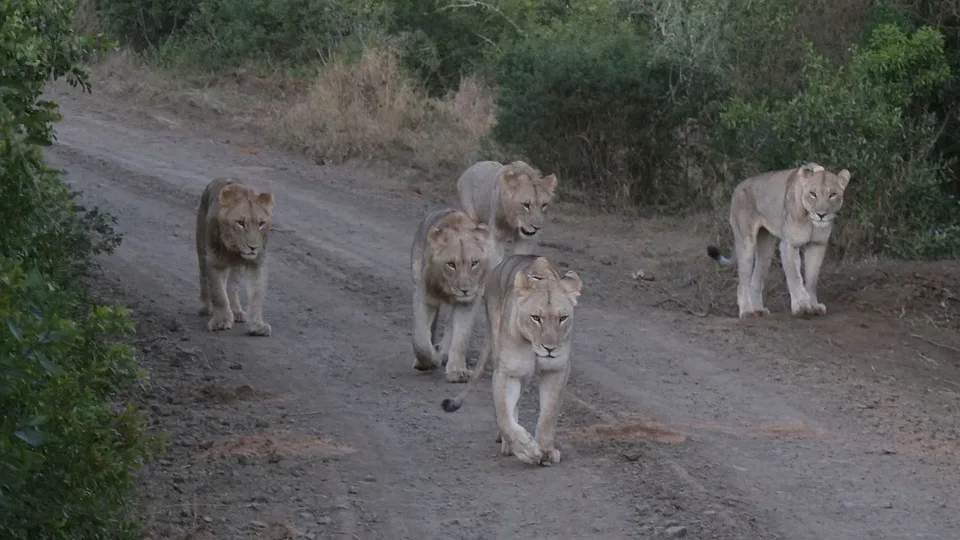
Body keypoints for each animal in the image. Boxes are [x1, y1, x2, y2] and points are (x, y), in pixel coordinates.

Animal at [193, 177, 272, 336]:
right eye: (240, 223)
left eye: (261, 223)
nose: (253, 247)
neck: (235, 250)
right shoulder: (215, 261)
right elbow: (218, 294)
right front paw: (221, 321)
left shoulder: (257, 265)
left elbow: (257, 295)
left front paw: (258, 325)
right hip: (202, 249)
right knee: (203, 278)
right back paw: (205, 307)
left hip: (236, 268)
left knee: (232, 286)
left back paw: (236, 311)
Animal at [408, 207, 496, 384]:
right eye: (451, 264)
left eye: (474, 263)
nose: (465, 290)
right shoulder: (425, 297)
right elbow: (420, 338)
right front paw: (427, 362)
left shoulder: (467, 303)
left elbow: (461, 337)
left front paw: (457, 371)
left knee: (450, 326)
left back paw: (443, 352)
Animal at [438, 255, 580, 466]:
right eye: (536, 318)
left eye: (562, 318)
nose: (550, 348)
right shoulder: (508, 371)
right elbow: (505, 415)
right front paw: (526, 449)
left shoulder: (557, 369)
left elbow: (549, 413)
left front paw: (545, 450)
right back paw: (507, 443)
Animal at [700, 162, 852, 318]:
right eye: (813, 194)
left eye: (832, 194)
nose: (821, 215)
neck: (810, 220)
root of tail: (738, 186)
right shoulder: (789, 244)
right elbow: (795, 276)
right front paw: (802, 306)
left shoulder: (817, 245)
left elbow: (812, 279)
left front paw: (814, 306)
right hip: (745, 241)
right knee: (742, 283)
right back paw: (747, 311)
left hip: (766, 247)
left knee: (756, 279)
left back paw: (759, 309)